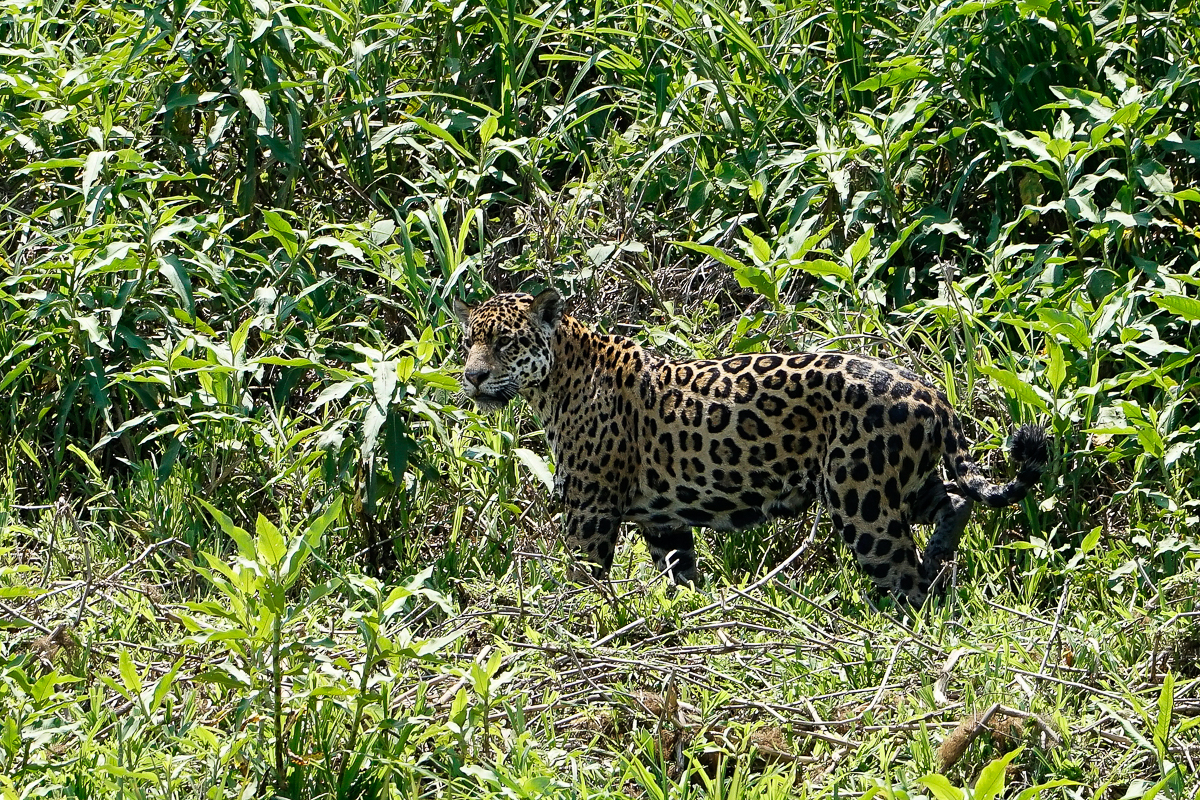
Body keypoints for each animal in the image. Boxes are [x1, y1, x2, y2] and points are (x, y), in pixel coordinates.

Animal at [453, 288, 1049, 605]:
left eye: (505, 343)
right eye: (467, 343)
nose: (473, 378)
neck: (555, 383)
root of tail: (930, 392)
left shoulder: (589, 513)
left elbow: (582, 581)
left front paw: (574, 625)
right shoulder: (663, 520)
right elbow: (679, 572)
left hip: (863, 503)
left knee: (901, 576)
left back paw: (902, 621)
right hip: (898, 482)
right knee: (956, 500)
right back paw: (939, 556)